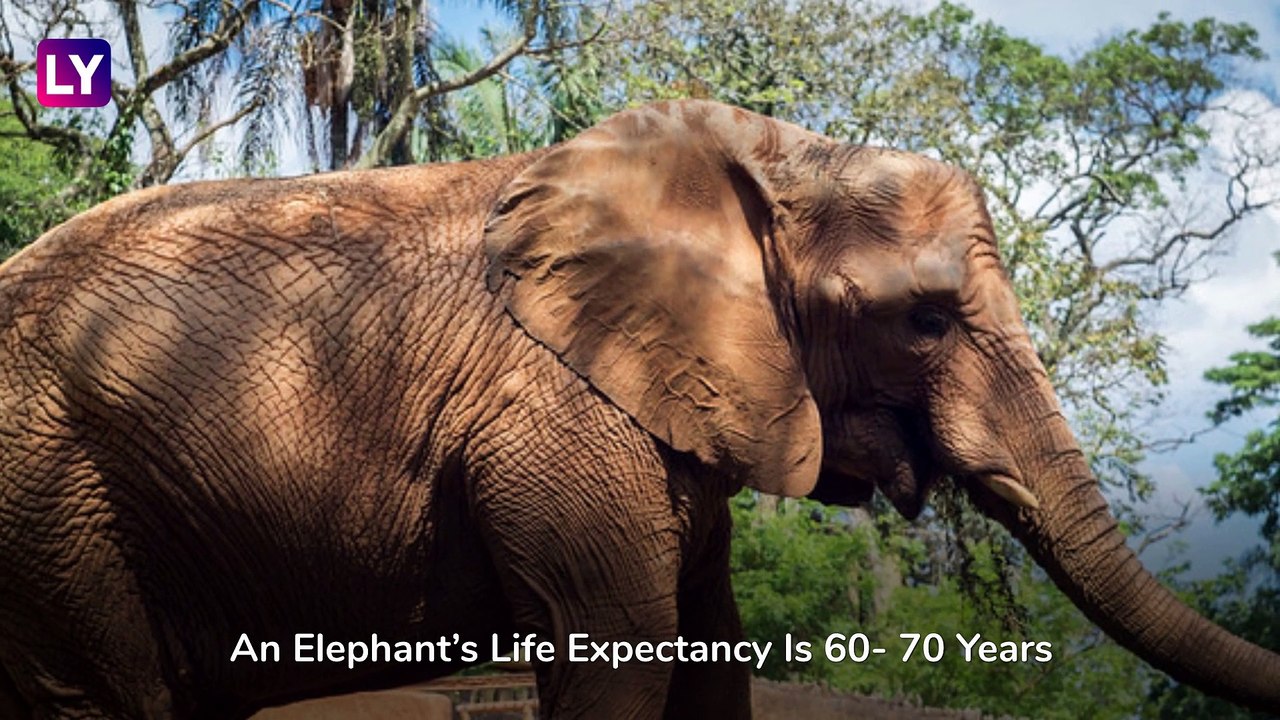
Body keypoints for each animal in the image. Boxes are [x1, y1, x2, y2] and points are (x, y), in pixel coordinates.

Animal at [0, 100, 1275, 719]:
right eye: (923, 321)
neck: (768, 159)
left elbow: (709, 664)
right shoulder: (554, 419)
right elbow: (619, 655)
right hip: (50, 504)